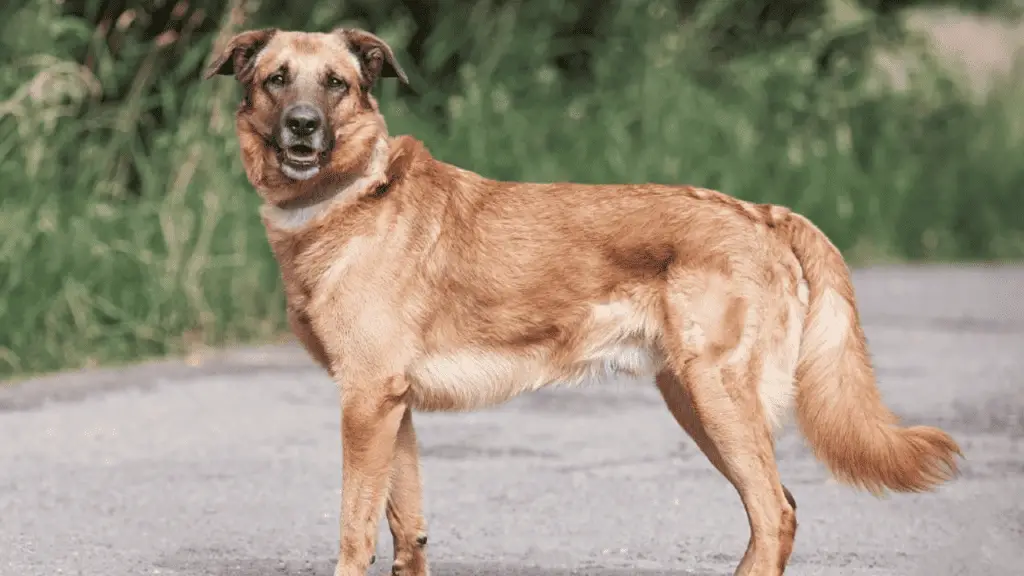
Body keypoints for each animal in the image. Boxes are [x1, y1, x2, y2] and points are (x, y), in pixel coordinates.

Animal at [205, 28, 958, 573]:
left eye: (336, 83)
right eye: (277, 79)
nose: (303, 126)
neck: (351, 195)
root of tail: (762, 213)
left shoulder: (365, 403)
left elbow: (354, 533)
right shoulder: (392, 409)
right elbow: (406, 530)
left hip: (718, 398)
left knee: (774, 513)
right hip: (694, 402)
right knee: (777, 511)